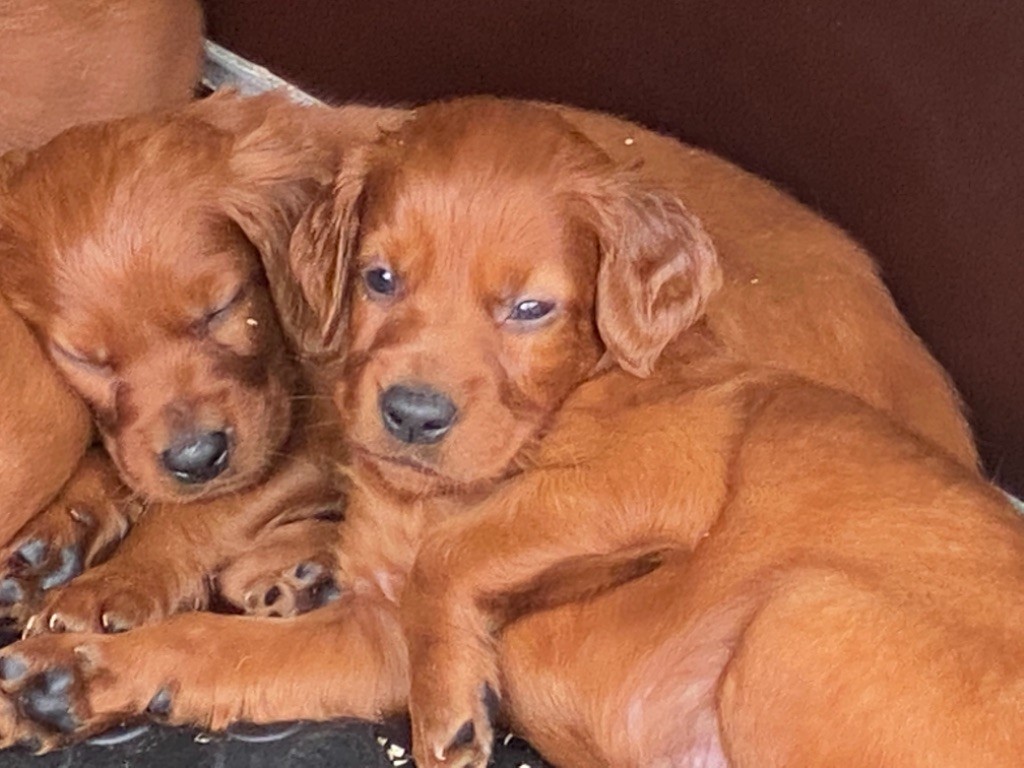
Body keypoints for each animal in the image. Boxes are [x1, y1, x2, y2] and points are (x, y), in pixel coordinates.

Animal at [0, 97, 1011, 768]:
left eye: (221, 309)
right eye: (82, 356)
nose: (412, 415)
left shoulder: (653, 467)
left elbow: (280, 511)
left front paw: (120, 583)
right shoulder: (374, 631)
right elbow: (211, 638)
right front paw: (67, 629)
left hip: (800, 621)